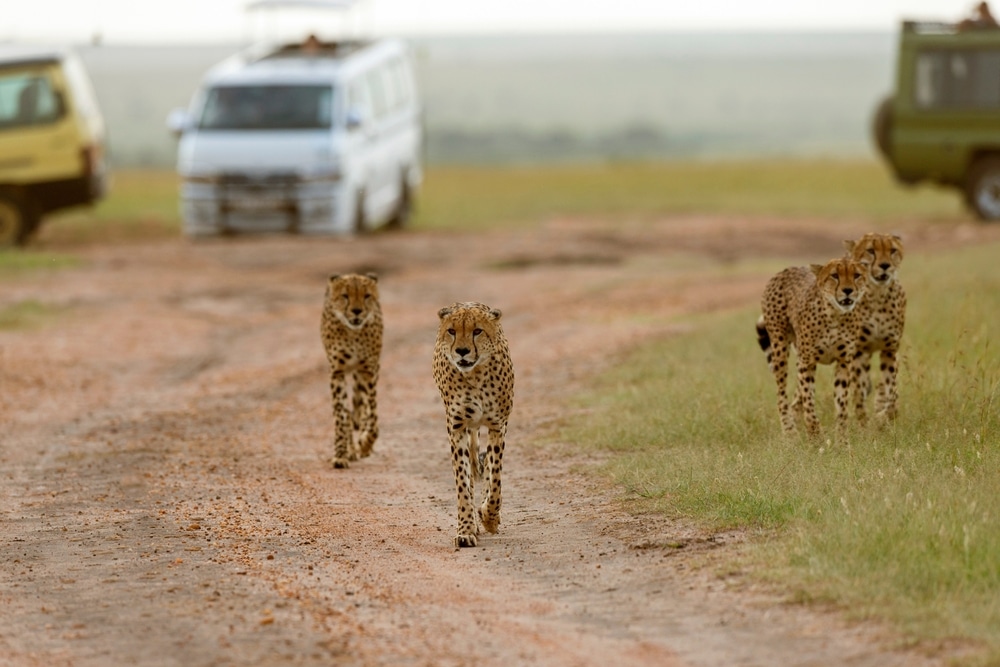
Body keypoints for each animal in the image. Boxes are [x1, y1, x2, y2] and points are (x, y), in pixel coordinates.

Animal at [320, 274, 382, 468]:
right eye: (345, 296)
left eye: (366, 295)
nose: (356, 311)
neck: (353, 333)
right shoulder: (337, 372)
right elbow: (341, 416)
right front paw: (341, 454)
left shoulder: (368, 371)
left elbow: (372, 417)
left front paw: (365, 443)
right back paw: (351, 450)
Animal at [434, 302, 516, 548]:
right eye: (452, 331)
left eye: (477, 331)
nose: (462, 351)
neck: (475, 375)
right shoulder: (457, 427)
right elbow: (462, 481)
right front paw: (466, 529)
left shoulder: (498, 426)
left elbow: (495, 477)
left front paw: (490, 517)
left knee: (487, 466)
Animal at [756, 258, 868, 438]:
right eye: (834, 276)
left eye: (856, 275)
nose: (848, 291)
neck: (834, 314)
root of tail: (786, 269)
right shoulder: (807, 362)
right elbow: (809, 403)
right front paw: (816, 436)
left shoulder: (843, 362)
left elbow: (841, 404)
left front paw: (842, 438)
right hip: (780, 348)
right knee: (781, 395)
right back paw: (790, 432)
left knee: (795, 398)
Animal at [844, 234, 908, 422]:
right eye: (871, 250)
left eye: (892, 250)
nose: (885, 265)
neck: (877, 295)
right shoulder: (857, 350)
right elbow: (858, 390)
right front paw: (863, 418)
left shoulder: (890, 349)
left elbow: (889, 385)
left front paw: (884, 413)